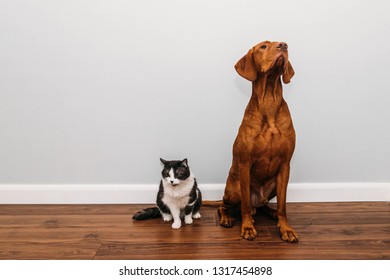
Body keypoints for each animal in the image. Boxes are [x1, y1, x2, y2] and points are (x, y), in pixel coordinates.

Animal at [218, 40, 298, 242]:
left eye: (282, 43)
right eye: (263, 46)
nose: (283, 45)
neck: (269, 99)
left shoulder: (285, 166)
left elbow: (283, 205)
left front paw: (286, 228)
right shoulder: (245, 164)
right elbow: (245, 205)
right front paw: (247, 227)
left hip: (274, 186)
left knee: (265, 206)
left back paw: (271, 213)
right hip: (234, 189)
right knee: (225, 206)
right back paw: (227, 218)